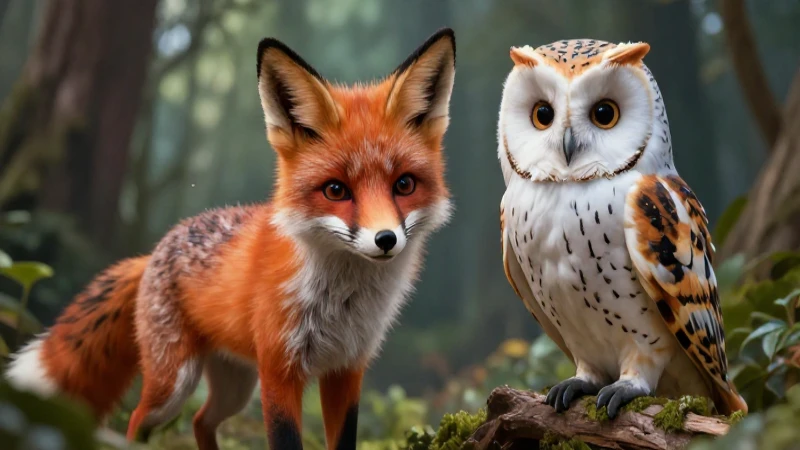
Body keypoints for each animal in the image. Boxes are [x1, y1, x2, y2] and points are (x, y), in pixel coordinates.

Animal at [5, 28, 456, 450]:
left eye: (404, 185)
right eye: (335, 191)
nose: (386, 239)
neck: (342, 302)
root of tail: (152, 252)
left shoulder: (346, 370)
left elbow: (344, 439)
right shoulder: (278, 371)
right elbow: (286, 439)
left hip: (235, 388)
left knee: (200, 421)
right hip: (175, 383)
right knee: (136, 420)